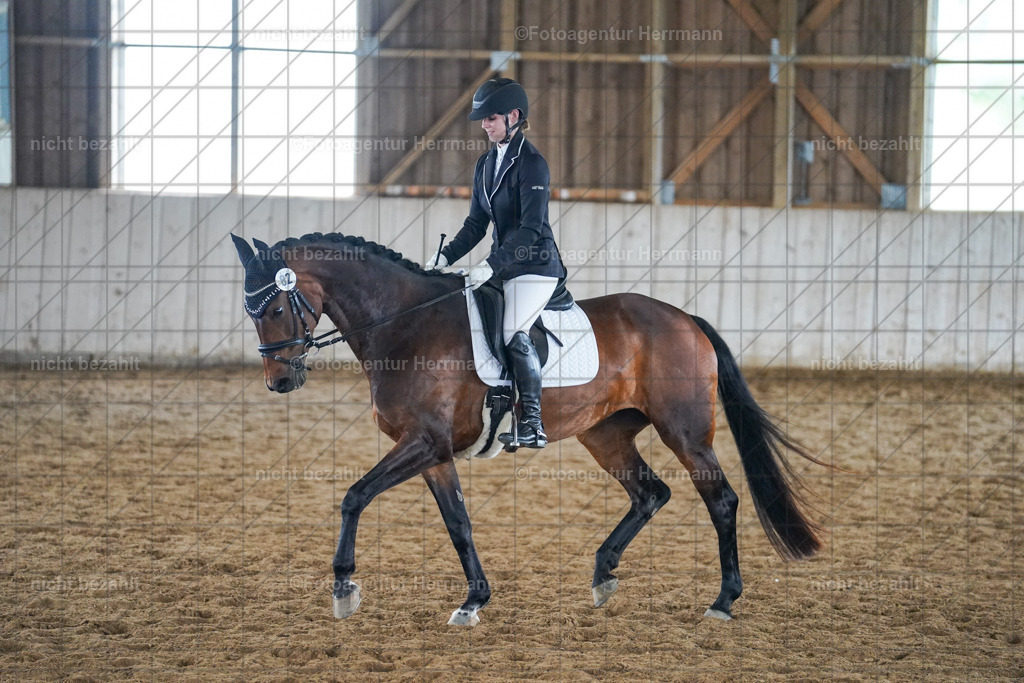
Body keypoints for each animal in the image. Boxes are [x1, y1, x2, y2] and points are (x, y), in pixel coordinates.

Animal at [231, 231, 825, 627]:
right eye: (250, 311)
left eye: (277, 307)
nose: (280, 381)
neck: (404, 324)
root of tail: (685, 318)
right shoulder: (434, 452)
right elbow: (458, 524)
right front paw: (474, 600)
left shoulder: (423, 442)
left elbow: (354, 496)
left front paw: (343, 586)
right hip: (604, 434)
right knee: (650, 492)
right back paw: (603, 575)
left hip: (684, 431)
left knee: (720, 500)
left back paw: (722, 602)